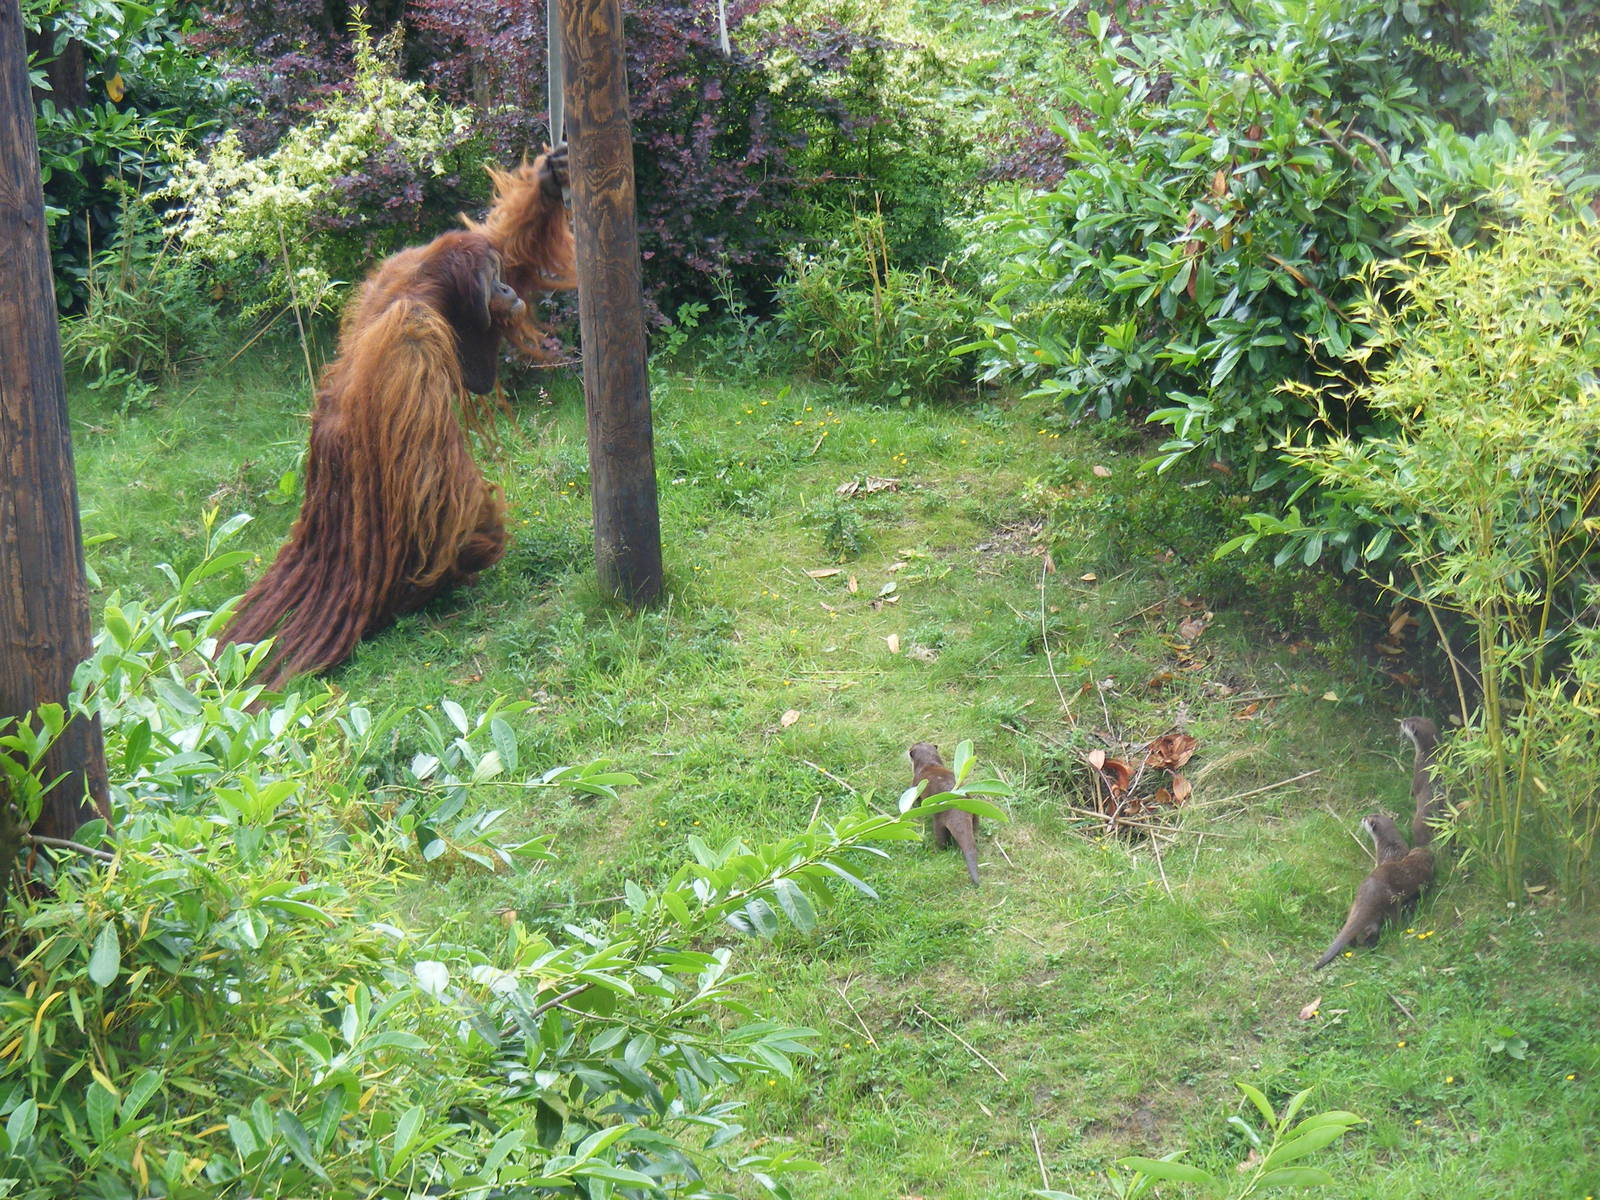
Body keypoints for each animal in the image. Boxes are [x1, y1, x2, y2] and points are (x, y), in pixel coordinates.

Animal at [908, 742, 979, 886]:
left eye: (912, 745)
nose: (908, 748)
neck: (929, 764)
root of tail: (957, 808)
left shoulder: (915, 783)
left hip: (939, 820)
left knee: (941, 839)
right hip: (973, 808)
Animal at [1399, 716, 1441, 847]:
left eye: (1406, 723)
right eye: (1414, 716)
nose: (1403, 719)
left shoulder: (1417, 770)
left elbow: (1415, 788)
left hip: (1417, 824)